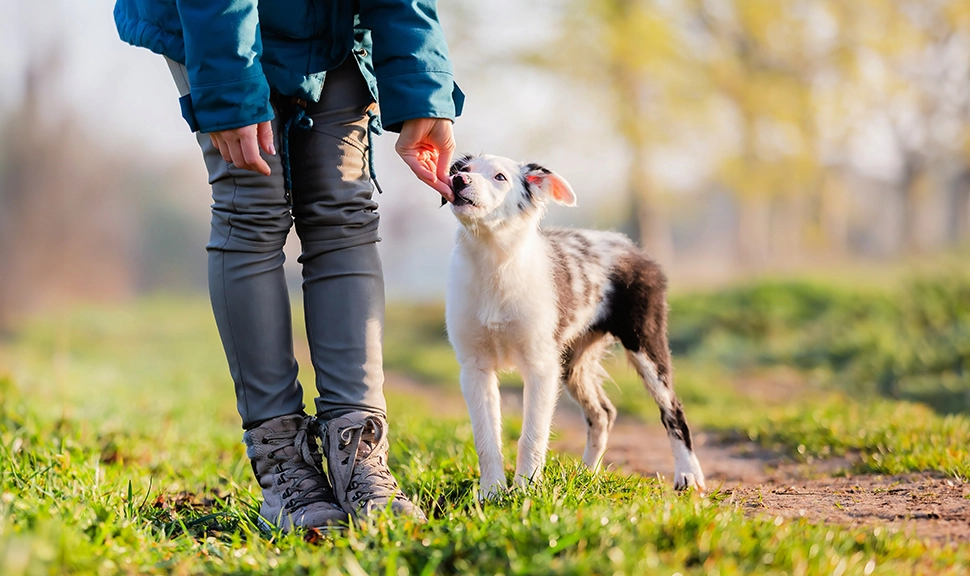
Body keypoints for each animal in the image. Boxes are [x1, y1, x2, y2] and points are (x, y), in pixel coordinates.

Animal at [440, 154, 704, 500]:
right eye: (462, 170)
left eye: (500, 177)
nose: (458, 180)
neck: (494, 260)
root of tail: (633, 247)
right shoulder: (475, 368)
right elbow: (486, 438)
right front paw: (492, 493)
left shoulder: (540, 366)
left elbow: (532, 435)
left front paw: (525, 490)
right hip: (572, 361)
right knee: (603, 413)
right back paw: (587, 475)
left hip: (645, 342)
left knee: (672, 409)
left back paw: (688, 474)